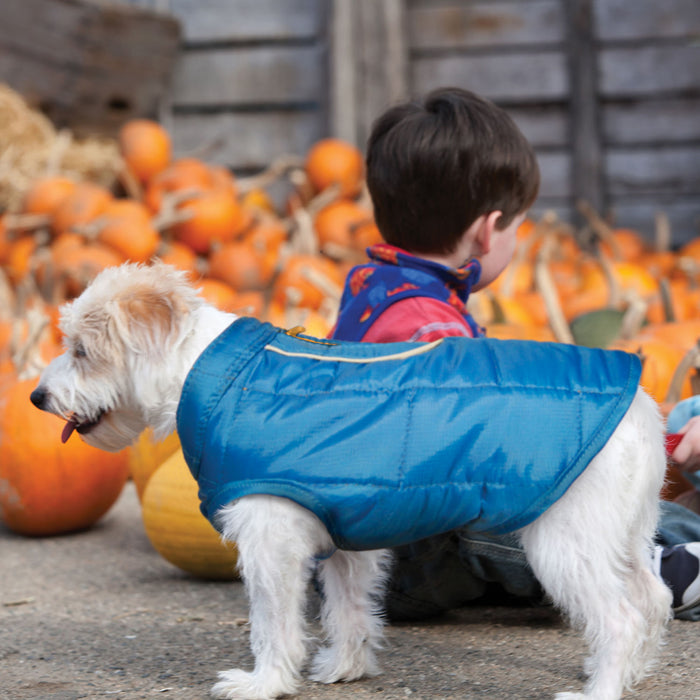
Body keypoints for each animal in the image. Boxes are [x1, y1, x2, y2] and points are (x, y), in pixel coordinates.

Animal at [30, 264, 668, 700]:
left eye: (81, 350)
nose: (36, 397)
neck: (207, 371)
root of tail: (640, 403)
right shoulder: (346, 543)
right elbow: (351, 611)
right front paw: (346, 668)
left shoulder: (269, 542)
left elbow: (273, 624)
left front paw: (264, 683)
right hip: (624, 537)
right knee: (653, 598)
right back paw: (631, 673)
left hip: (565, 544)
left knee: (620, 617)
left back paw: (600, 690)